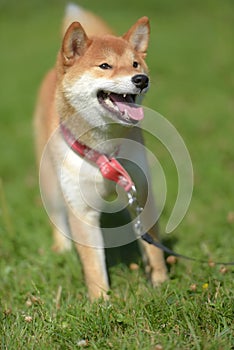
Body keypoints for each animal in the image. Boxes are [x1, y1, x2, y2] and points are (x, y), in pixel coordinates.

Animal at [33, 4, 167, 300]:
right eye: (105, 66)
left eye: (135, 64)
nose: (141, 79)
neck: (105, 150)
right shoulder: (80, 208)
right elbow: (94, 264)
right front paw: (100, 301)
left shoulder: (140, 190)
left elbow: (152, 247)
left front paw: (161, 283)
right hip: (50, 182)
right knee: (57, 217)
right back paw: (62, 250)